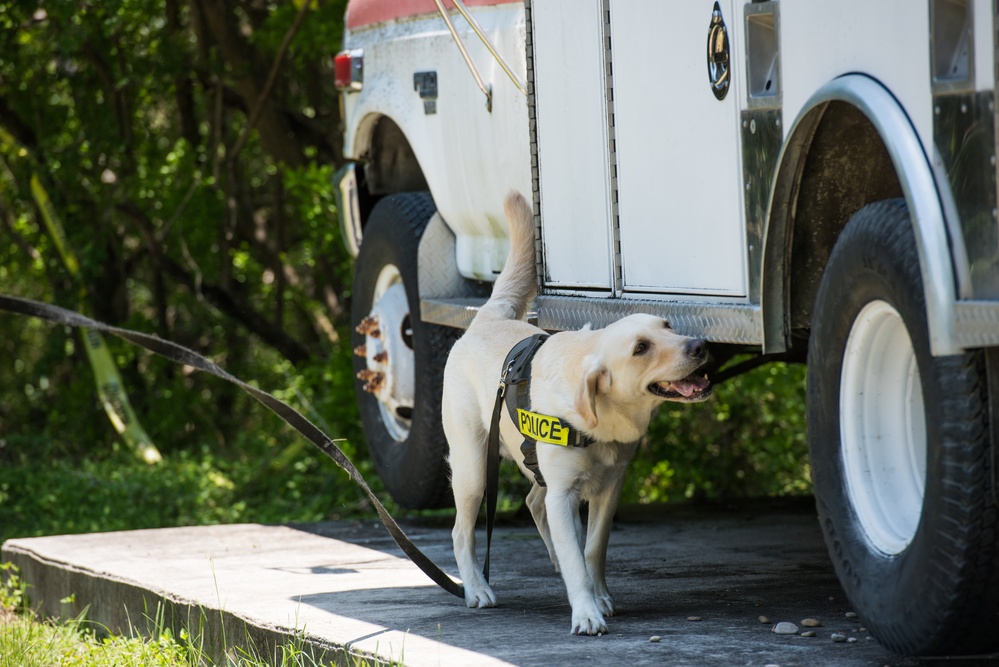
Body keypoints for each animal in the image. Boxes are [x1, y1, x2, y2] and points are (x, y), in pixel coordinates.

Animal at [444, 190, 712, 636]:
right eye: (641, 348)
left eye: (668, 326)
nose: (699, 345)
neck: (603, 421)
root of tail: (487, 318)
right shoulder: (565, 494)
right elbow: (575, 556)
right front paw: (586, 610)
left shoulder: (609, 489)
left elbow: (591, 550)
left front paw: (598, 596)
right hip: (474, 470)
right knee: (462, 531)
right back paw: (477, 588)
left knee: (535, 501)